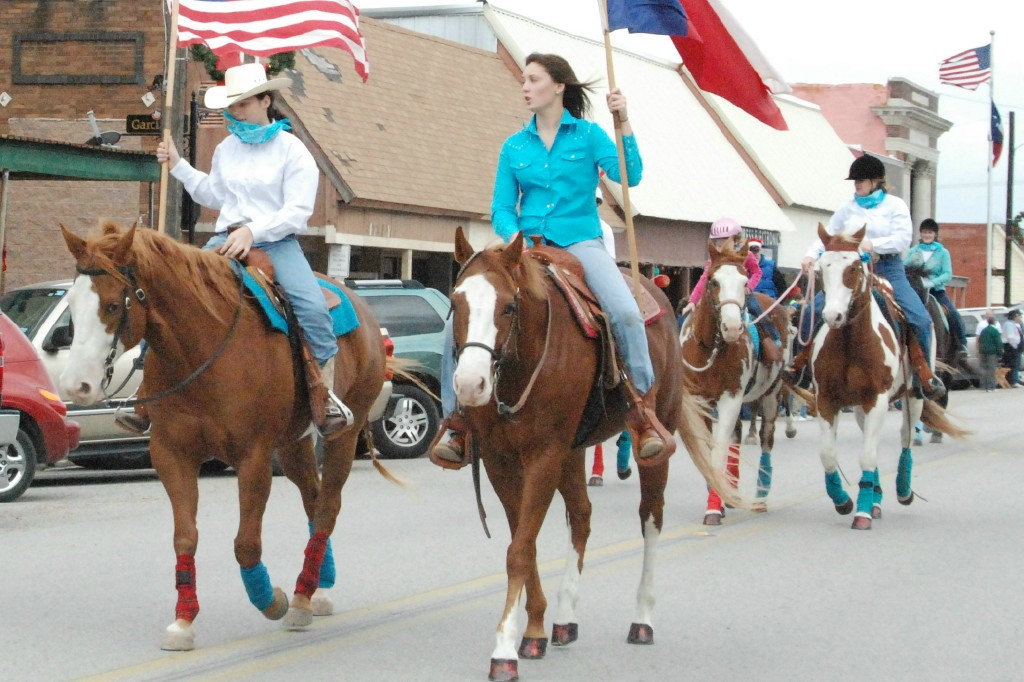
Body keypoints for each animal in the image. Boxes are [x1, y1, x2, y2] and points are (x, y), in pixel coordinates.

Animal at [448, 228, 737, 679]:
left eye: (509, 306)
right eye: (455, 301)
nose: (469, 384)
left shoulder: (544, 456)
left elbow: (519, 550)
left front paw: (504, 650)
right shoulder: (500, 460)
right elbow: (524, 542)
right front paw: (534, 629)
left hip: (654, 441)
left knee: (651, 518)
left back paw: (642, 620)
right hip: (573, 451)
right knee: (581, 517)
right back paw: (565, 619)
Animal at [679, 236, 790, 522]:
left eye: (744, 282)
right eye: (713, 281)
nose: (731, 327)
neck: (711, 348)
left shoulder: (730, 399)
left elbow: (717, 453)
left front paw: (713, 507)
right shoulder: (701, 402)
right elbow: (709, 451)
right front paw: (719, 498)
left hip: (772, 395)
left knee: (766, 438)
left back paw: (760, 497)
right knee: (737, 438)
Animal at [806, 225, 966, 528]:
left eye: (854, 266)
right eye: (822, 267)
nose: (833, 315)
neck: (850, 341)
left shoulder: (877, 398)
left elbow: (868, 456)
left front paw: (862, 513)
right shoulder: (827, 400)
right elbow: (827, 455)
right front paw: (843, 501)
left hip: (914, 396)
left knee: (906, 437)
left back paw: (903, 490)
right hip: (859, 406)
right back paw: (876, 498)